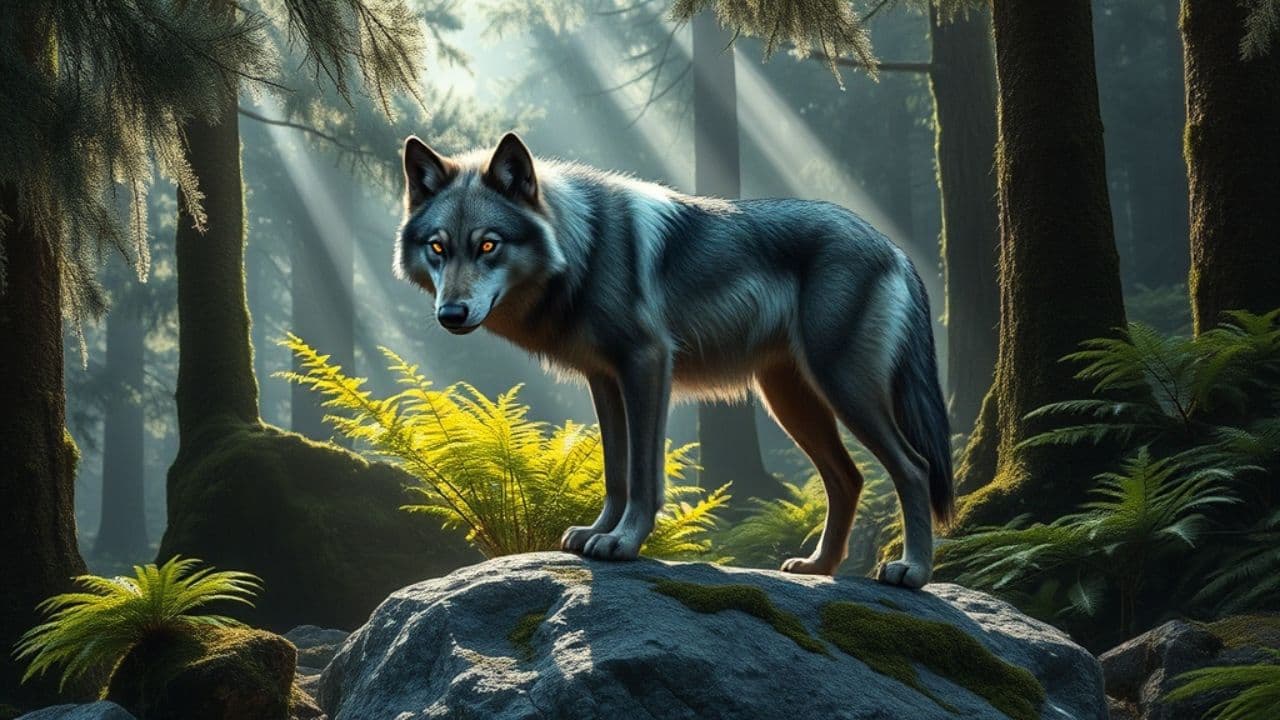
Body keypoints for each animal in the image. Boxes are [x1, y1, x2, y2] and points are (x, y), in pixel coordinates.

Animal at [394, 132, 954, 588]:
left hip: (842, 388)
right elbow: (615, 472)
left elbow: (644, 473)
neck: (585, 247)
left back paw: (912, 572)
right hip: (792, 401)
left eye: (488, 245)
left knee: (915, 467)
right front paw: (598, 532)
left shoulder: (647, 364)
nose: (450, 313)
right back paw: (819, 567)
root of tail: (893, 247)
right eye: (438, 248)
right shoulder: (604, 379)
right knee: (848, 478)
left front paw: (623, 543)